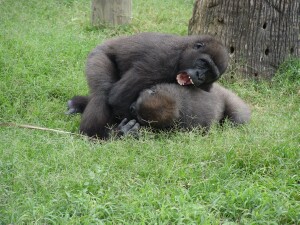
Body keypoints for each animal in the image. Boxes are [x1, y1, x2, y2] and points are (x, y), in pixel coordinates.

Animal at [67, 31, 229, 137]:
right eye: (203, 63)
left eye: (210, 74)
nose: (200, 76)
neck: (183, 51)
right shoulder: (161, 60)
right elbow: (119, 98)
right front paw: (121, 132)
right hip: (98, 55)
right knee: (102, 92)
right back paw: (94, 134)